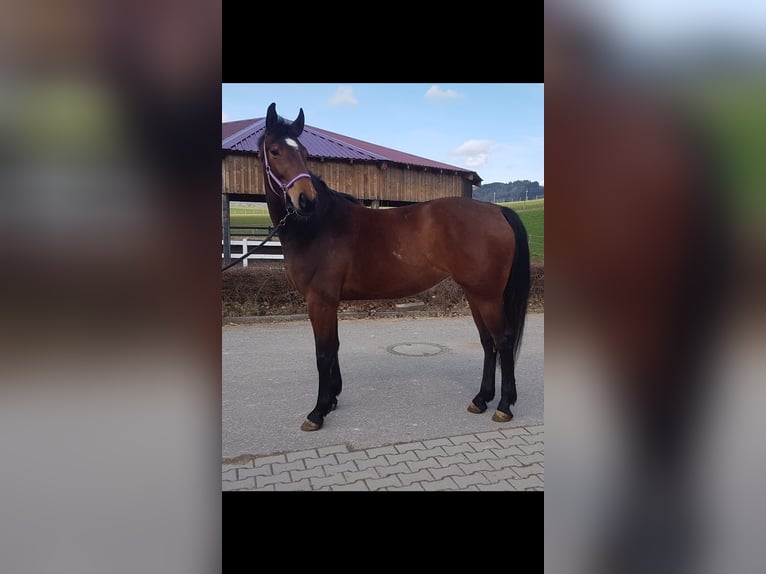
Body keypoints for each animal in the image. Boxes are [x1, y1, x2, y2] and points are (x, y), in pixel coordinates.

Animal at [258, 102, 530, 431]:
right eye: (275, 151)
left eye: (304, 152)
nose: (305, 200)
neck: (316, 226)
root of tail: (497, 210)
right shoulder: (328, 302)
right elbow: (334, 347)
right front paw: (332, 399)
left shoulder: (319, 301)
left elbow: (323, 353)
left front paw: (318, 411)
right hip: (475, 294)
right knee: (488, 341)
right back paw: (481, 399)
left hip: (487, 296)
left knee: (503, 341)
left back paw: (504, 406)